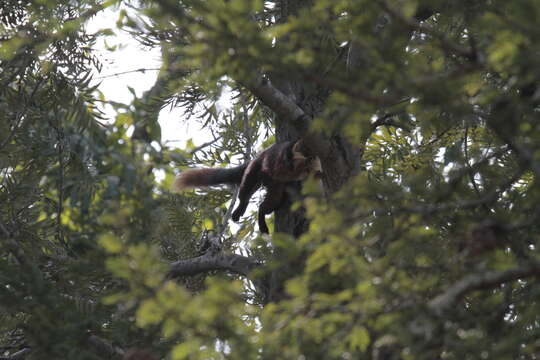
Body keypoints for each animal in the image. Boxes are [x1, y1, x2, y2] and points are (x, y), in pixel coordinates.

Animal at [174, 139, 320, 232]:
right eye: (304, 153)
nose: (309, 160)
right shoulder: (281, 158)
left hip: (276, 186)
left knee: (268, 203)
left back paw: (262, 217)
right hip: (254, 171)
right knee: (245, 191)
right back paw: (242, 206)